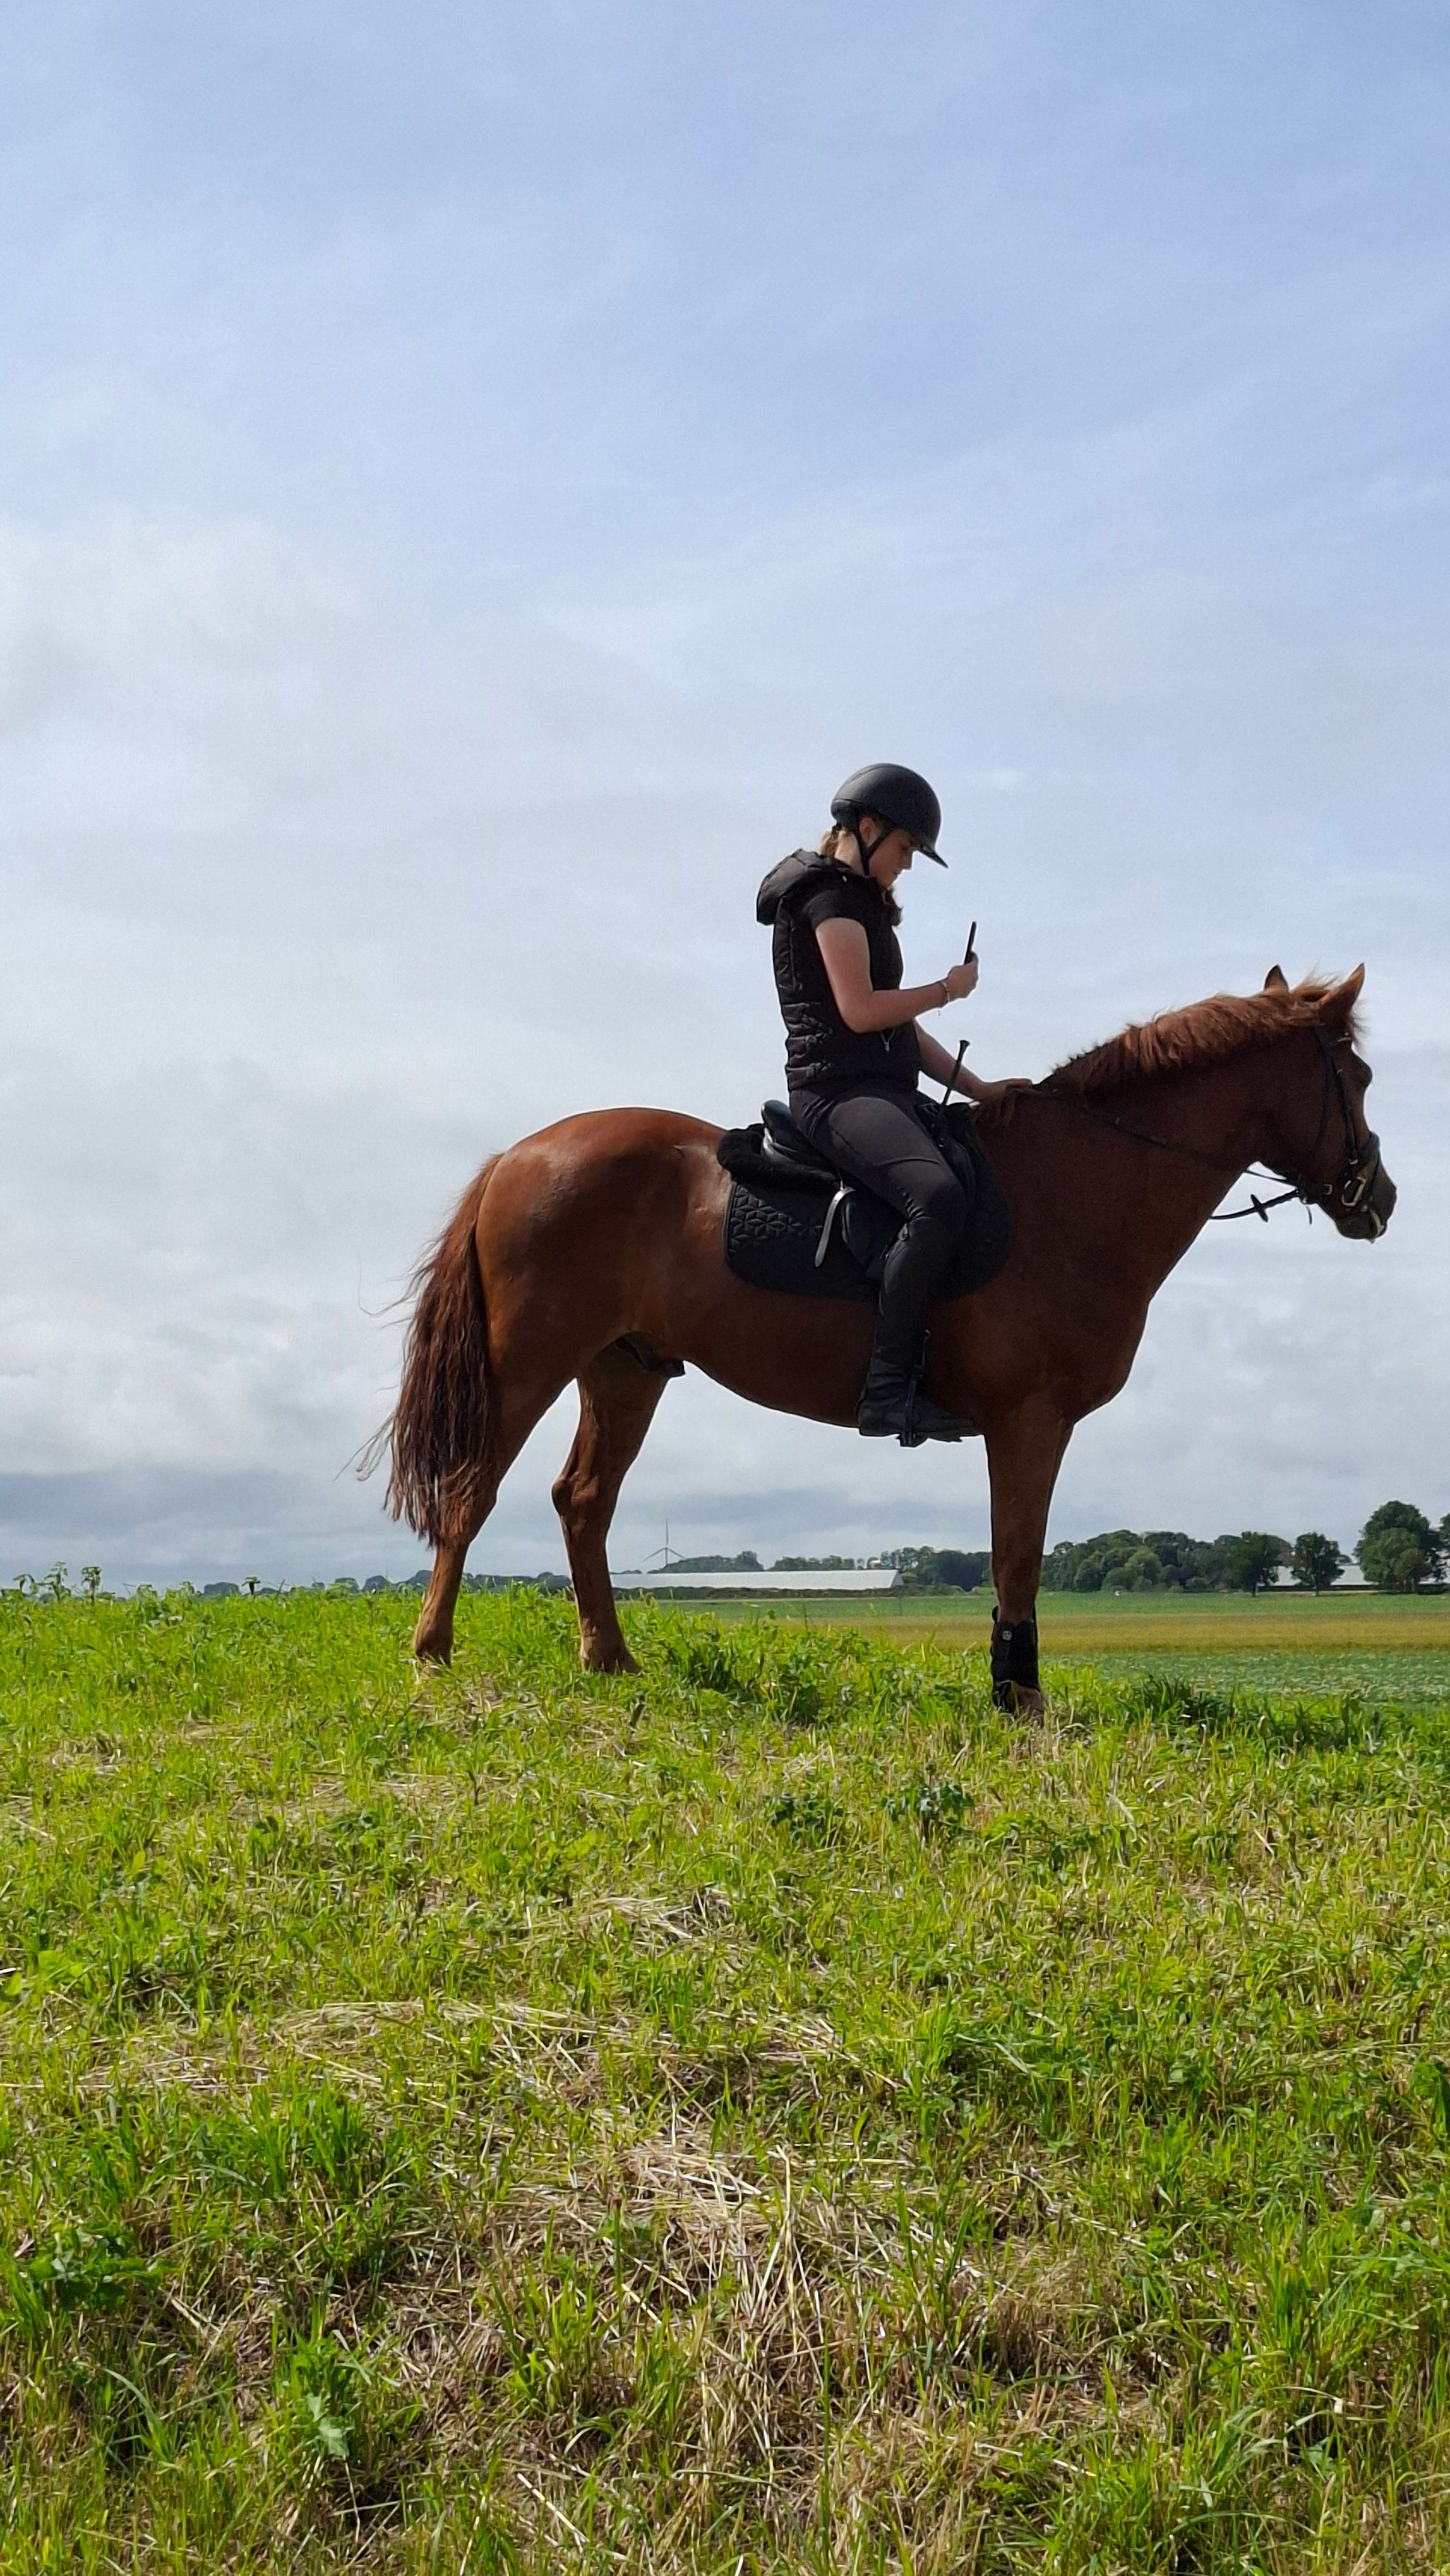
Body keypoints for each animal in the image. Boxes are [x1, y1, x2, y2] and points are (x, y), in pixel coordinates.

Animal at [381, 966, 1394, 1710]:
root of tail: (517, 1156)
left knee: (583, 1502)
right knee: (472, 1489)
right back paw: (432, 1652)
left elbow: (1013, 1559)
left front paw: (1011, 1691)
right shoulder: (1030, 1422)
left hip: (624, 1373)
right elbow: (1017, 1557)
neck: (1078, 1185)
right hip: (528, 1364)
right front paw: (1021, 1701)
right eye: (1355, 1078)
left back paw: (609, 1660)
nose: (1377, 1198)